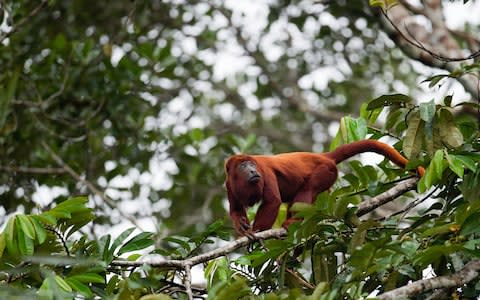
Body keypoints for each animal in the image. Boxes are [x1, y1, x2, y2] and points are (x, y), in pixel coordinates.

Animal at [225, 140, 424, 237]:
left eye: (252, 164)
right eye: (243, 166)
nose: (252, 170)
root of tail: (324, 156)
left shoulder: (265, 171)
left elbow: (272, 201)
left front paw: (257, 233)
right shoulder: (228, 184)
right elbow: (235, 209)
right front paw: (243, 228)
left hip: (326, 171)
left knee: (308, 189)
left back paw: (292, 222)